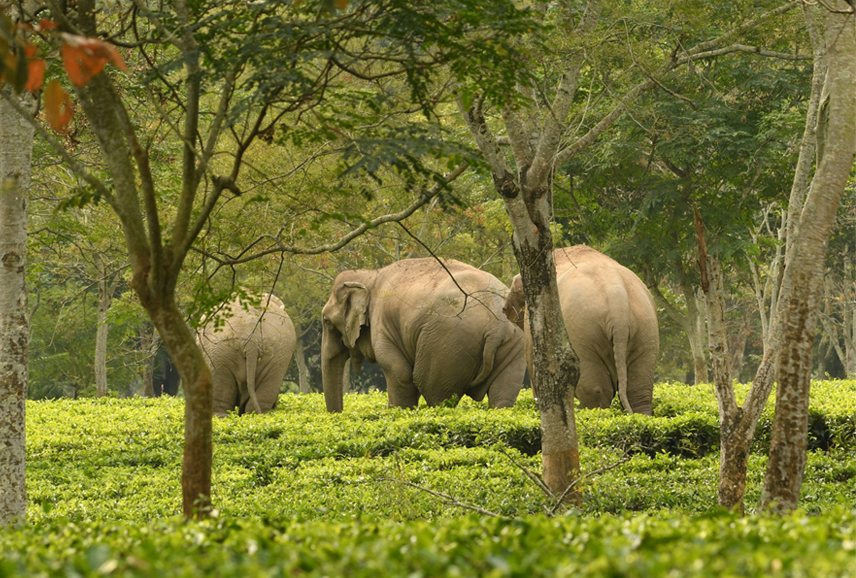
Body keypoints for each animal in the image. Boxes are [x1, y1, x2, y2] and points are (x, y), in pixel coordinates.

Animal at [320, 256, 524, 410]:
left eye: (326, 321)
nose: (339, 414)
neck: (369, 275)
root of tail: (496, 329)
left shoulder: (382, 324)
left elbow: (399, 373)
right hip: (512, 344)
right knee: (503, 395)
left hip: (447, 345)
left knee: (436, 394)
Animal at [502, 245, 664, 412]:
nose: (503, 309)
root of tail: (618, 302)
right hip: (645, 328)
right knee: (638, 391)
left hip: (583, 332)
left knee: (596, 390)